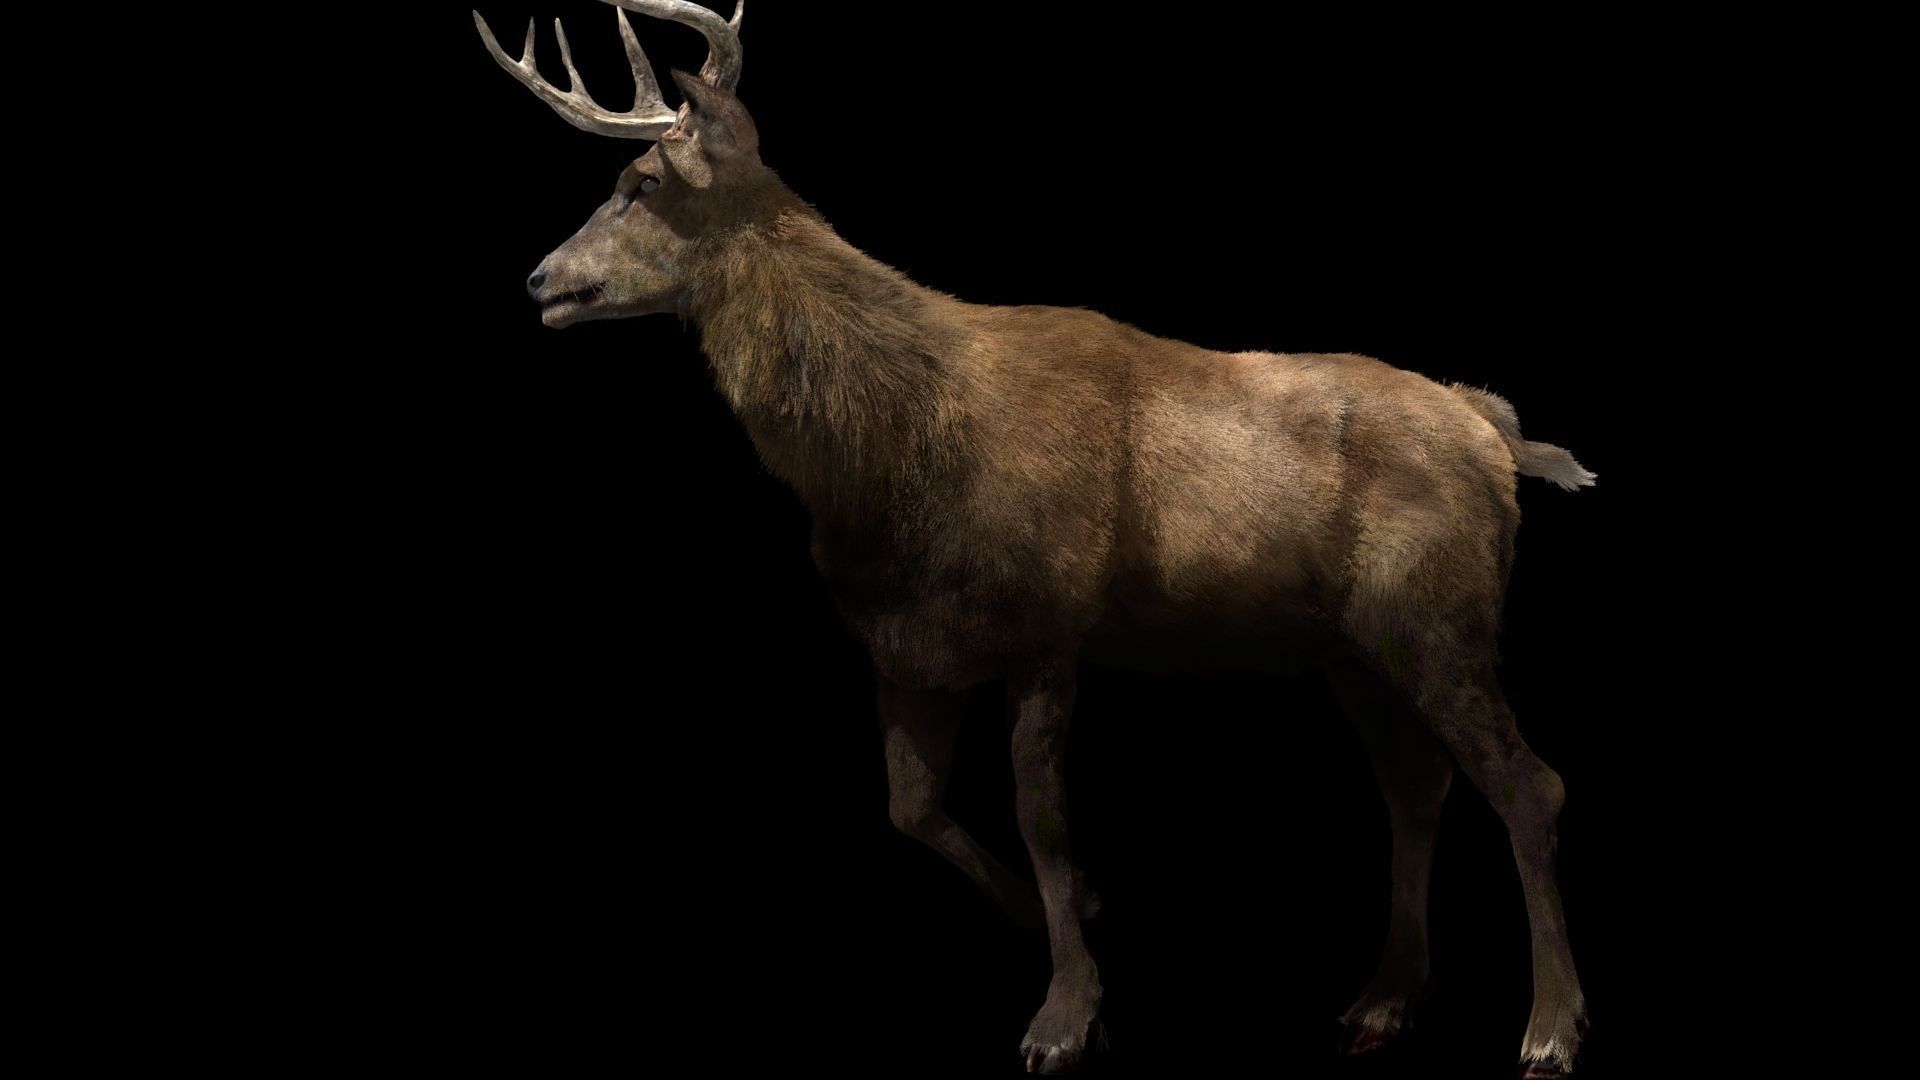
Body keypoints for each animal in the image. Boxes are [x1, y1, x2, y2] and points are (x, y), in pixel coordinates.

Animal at [473, 3, 1597, 1076]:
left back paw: (1547, 1029)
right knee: (1418, 786)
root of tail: (1492, 430)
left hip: (1438, 612)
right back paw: (1382, 1003)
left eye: (640, 182)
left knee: (1528, 783)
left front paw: (1063, 1016)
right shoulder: (903, 646)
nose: (538, 280)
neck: (889, 457)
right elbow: (912, 809)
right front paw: (1085, 912)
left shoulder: (1047, 623)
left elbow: (1040, 816)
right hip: (1352, 647)